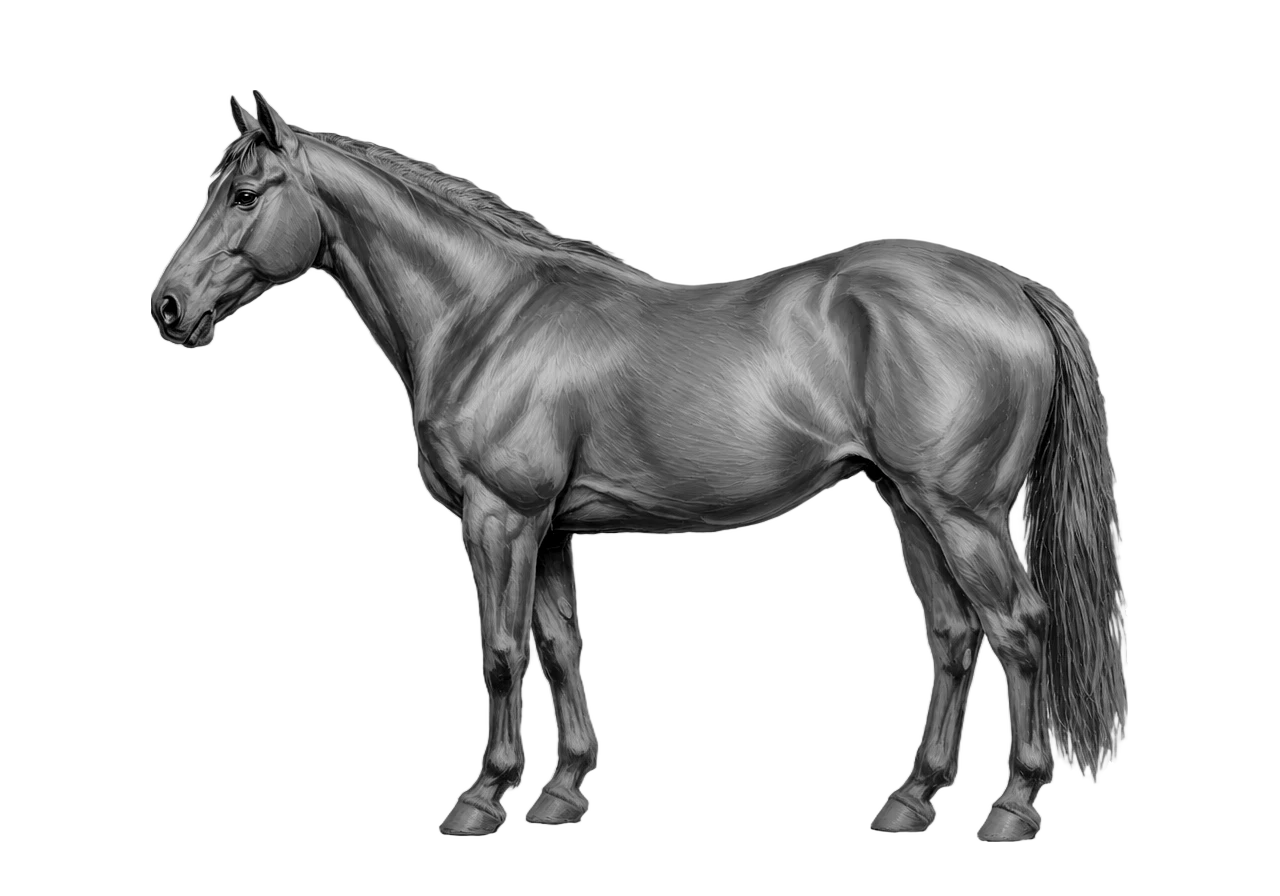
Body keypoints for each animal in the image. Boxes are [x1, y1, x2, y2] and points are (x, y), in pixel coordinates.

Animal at [147, 90, 1126, 841]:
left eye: (245, 192)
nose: (166, 306)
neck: (487, 315)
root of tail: (1012, 287)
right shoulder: (548, 529)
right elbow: (559, 646)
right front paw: (561, 791)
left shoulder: (499, 518)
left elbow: (500, 652)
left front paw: (482, 799)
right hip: (908, 504)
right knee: (954, 636)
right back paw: (910, 799)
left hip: (964, 513)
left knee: (1019, 627)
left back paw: (1012, 808)